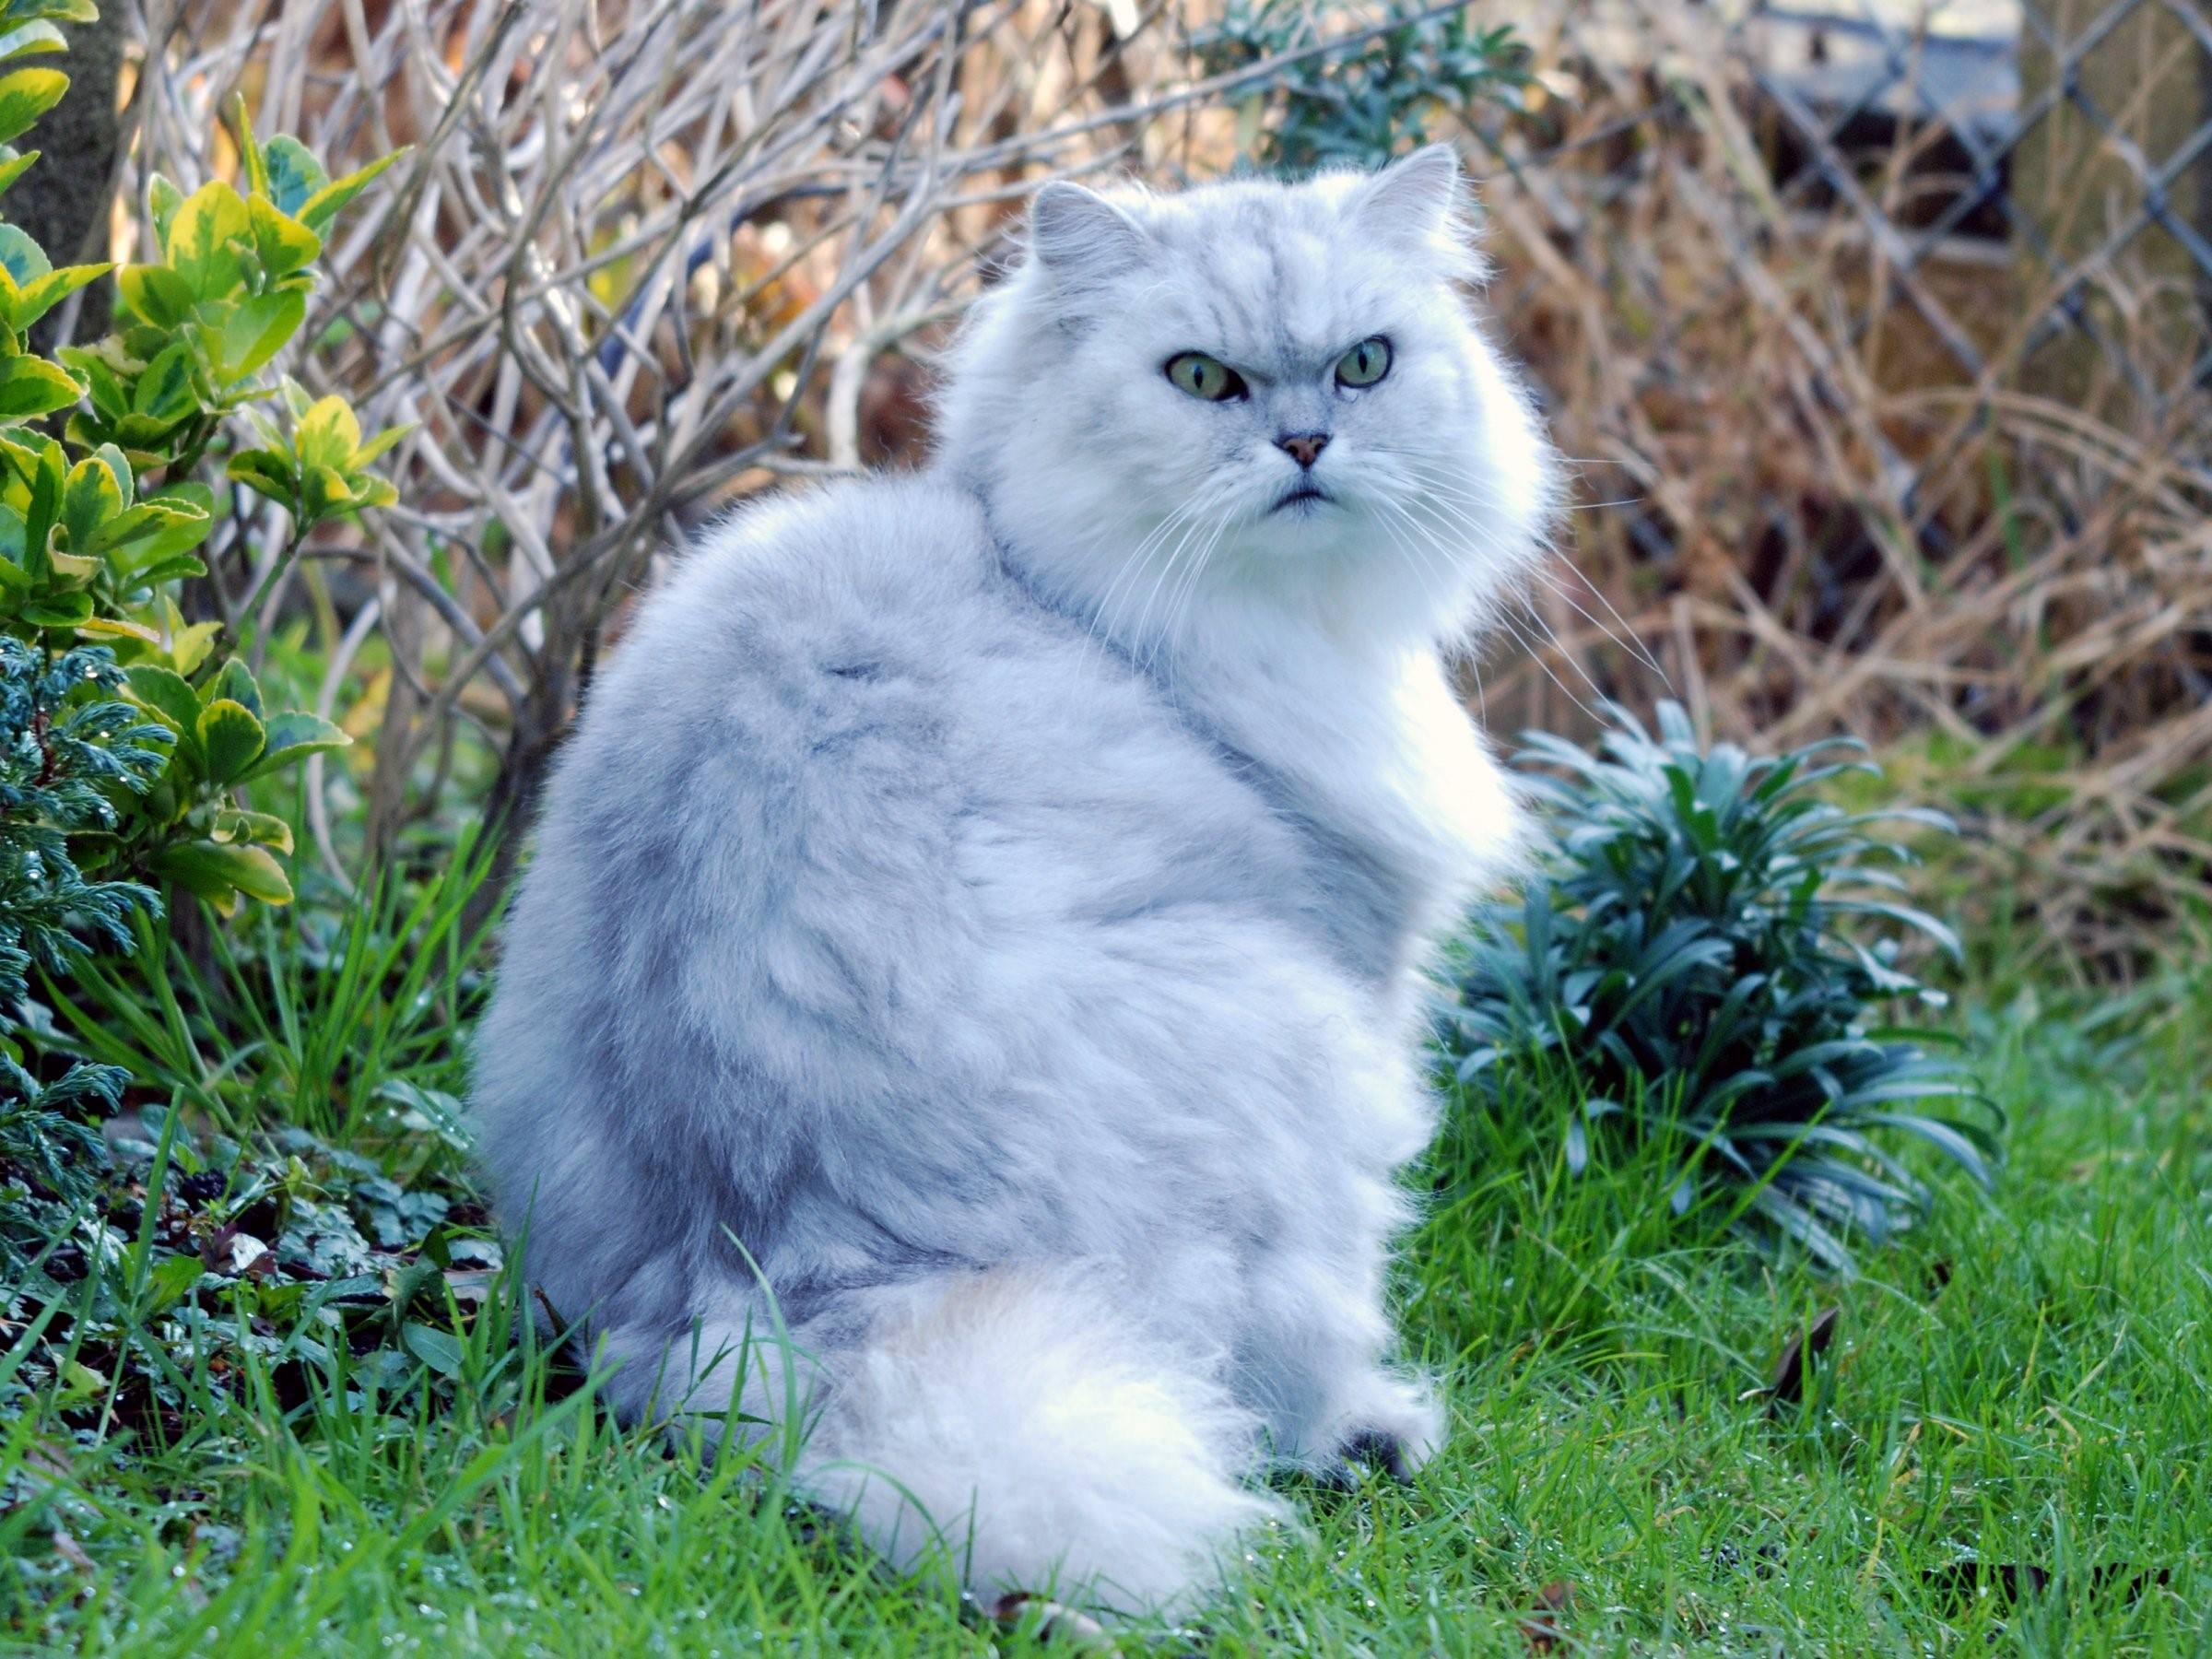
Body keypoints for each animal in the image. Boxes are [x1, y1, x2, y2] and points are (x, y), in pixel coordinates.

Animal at [477, 139, 1566, 1610]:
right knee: (1276, 1357)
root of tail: (778, 1271)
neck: (1066, 592)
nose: (1304, 446)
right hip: (1304, 1053)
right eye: (1203, 380)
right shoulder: (1361, 959)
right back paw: (1360, 1435)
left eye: (1363, 366)